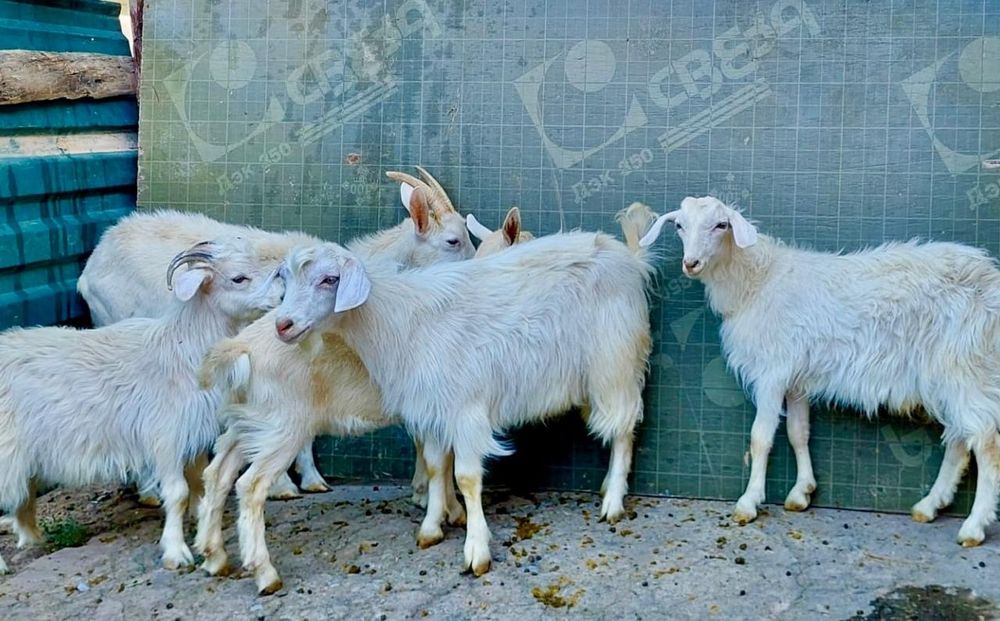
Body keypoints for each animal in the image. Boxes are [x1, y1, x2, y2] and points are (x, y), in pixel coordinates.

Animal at [0, 239, 283, 573]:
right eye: (239, 278)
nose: (282, 297)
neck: (183, 347)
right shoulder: (165, 437)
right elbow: (177, 493)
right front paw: (176, 552)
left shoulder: (192, 434)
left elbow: (199, 486)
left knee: (25, 491)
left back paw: (32, 539)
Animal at [655, 195, 1000, 547]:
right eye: (679, 225)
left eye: (721, 225)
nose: (691, 263)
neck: (758, 281)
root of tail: (990, 280)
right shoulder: (796, 379)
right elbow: (798, 431)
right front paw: (801, 492)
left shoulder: (772, 371)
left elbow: (760, 437)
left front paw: (748, 502)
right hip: (948, 376)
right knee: (959, 439)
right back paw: (929, 506)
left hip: (965, 365)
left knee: (986, 442)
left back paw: (973, 527)